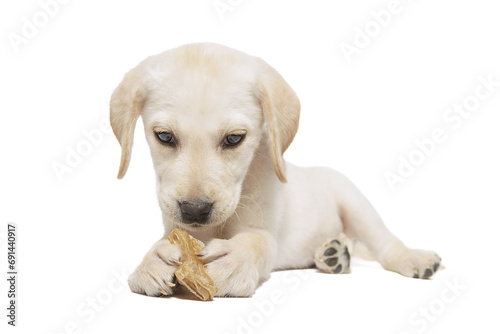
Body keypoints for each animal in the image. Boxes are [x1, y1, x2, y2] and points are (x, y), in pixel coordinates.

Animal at [110, 42, 442, 298]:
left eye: (234, 139)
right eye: (164, 137)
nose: (195, 210)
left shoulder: (266, 229)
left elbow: (257, 241)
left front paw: (234, 260)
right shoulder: (176, 227)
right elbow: (165, 240)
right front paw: (151, 261)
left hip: (355, 202)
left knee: (385, 243)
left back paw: (412, 257)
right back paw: (335, 254)